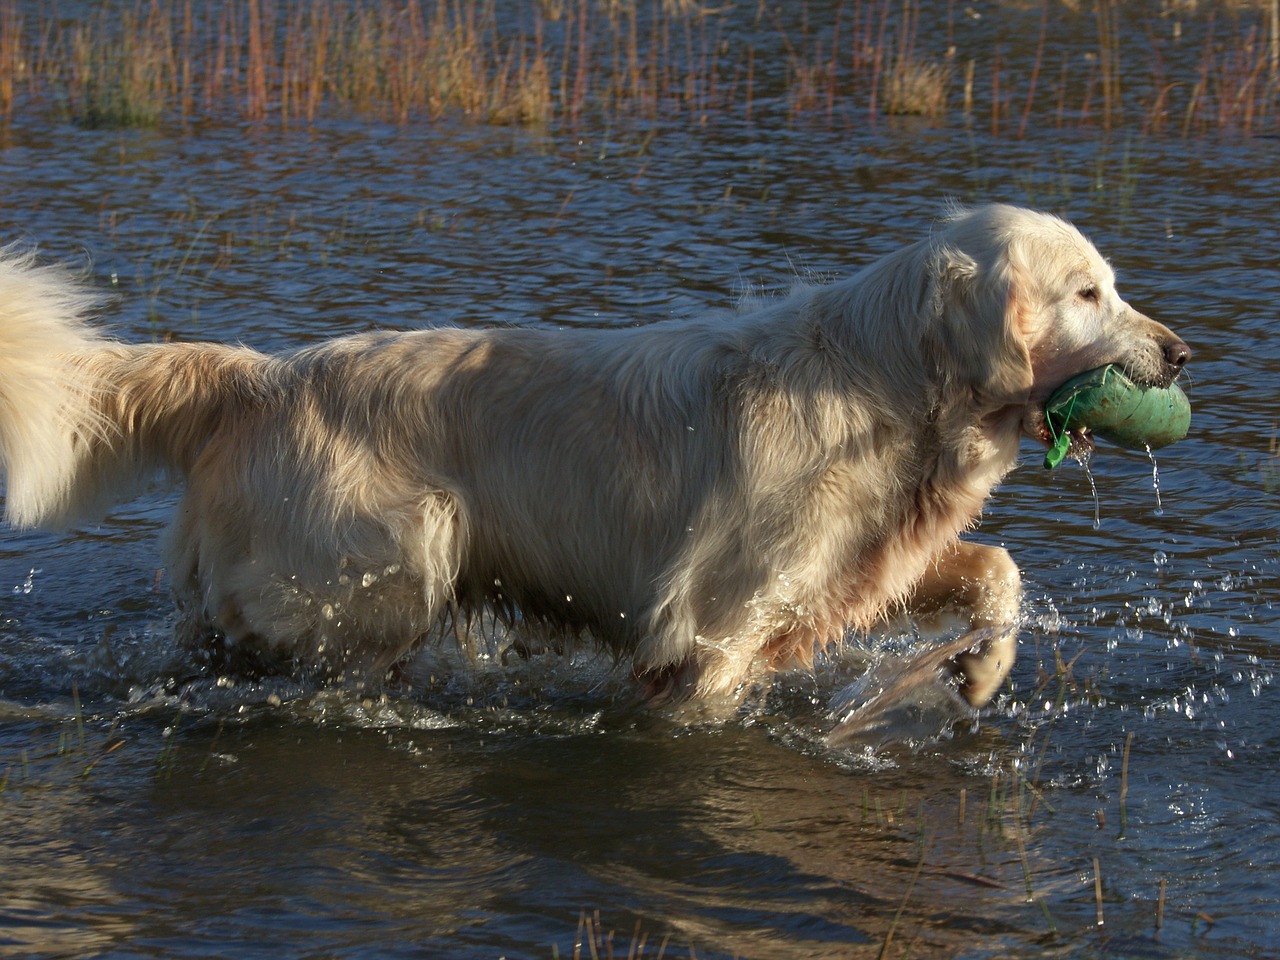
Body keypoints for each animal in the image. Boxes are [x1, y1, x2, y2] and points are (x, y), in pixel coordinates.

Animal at [0, 207, 1182, 721]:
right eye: (1087, 292)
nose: (1180, 354)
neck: (885, 383)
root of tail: (257, 376)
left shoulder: (857, 566)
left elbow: (997, 571)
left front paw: (977, 673)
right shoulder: (710, 628)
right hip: (388, 562)